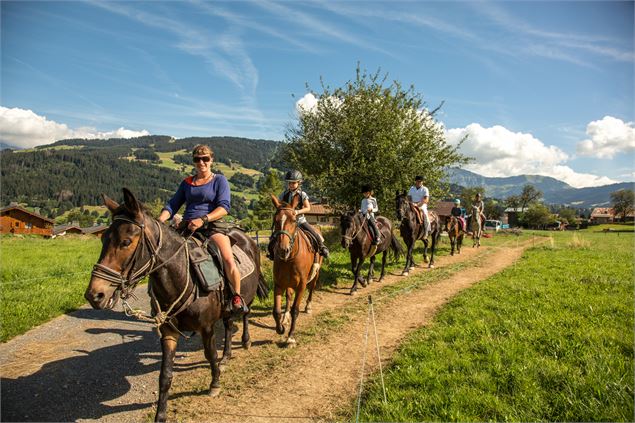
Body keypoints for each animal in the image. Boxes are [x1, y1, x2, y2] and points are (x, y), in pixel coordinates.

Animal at [83, 190, 268, 423]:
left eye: (126, 241)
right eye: (103, 239)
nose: (94, 295)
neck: (181, 274)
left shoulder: (206, 328)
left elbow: (210, 355)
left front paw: (215, 383)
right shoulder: (168, 331)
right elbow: (165, 375)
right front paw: (161, 414)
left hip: (245, 297)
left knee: (243, 314)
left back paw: (245, 341)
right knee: (227, 324)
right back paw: (226, 356)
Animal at [270, 194, 322, 346]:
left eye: (294, 220)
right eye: (275, 220)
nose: (283, 250)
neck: (290, 258)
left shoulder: (301, 285)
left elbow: (295, 310)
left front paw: (290, 336)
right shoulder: (278, 284)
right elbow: (276, 311)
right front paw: (281, 328)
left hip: (315, 274)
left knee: (312, 288)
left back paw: (308, 307)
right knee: (288, 296)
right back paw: (285, 317)